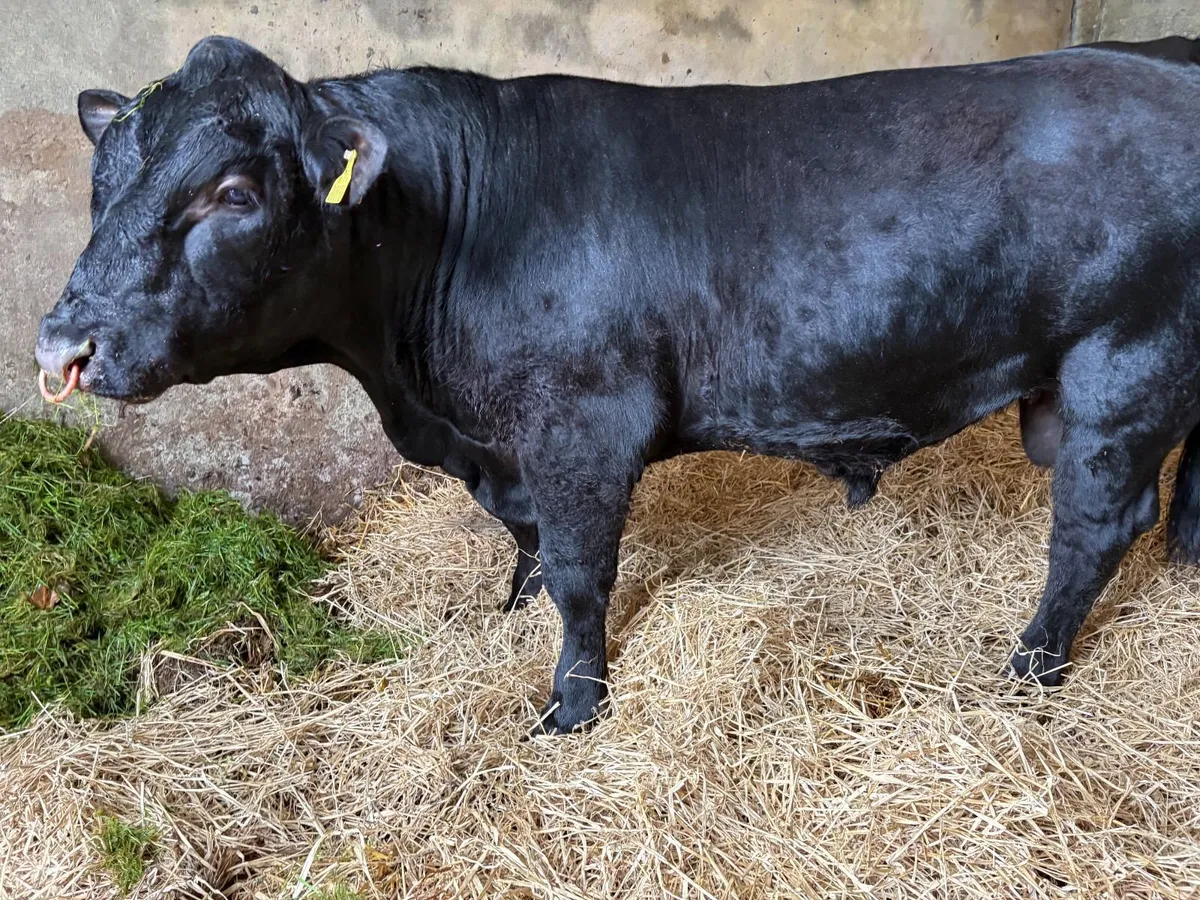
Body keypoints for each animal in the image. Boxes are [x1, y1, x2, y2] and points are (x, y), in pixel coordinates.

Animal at [35, 35, 1200, 734]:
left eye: (231, 193)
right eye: (102, 182)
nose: (60, 348)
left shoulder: (581, 428)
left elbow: (581, 572)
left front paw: (571, 704)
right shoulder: (503, 445)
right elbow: (527, 548)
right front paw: (509, 614)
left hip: (1126, 364)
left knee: (1097, 523)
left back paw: (1031, 667)